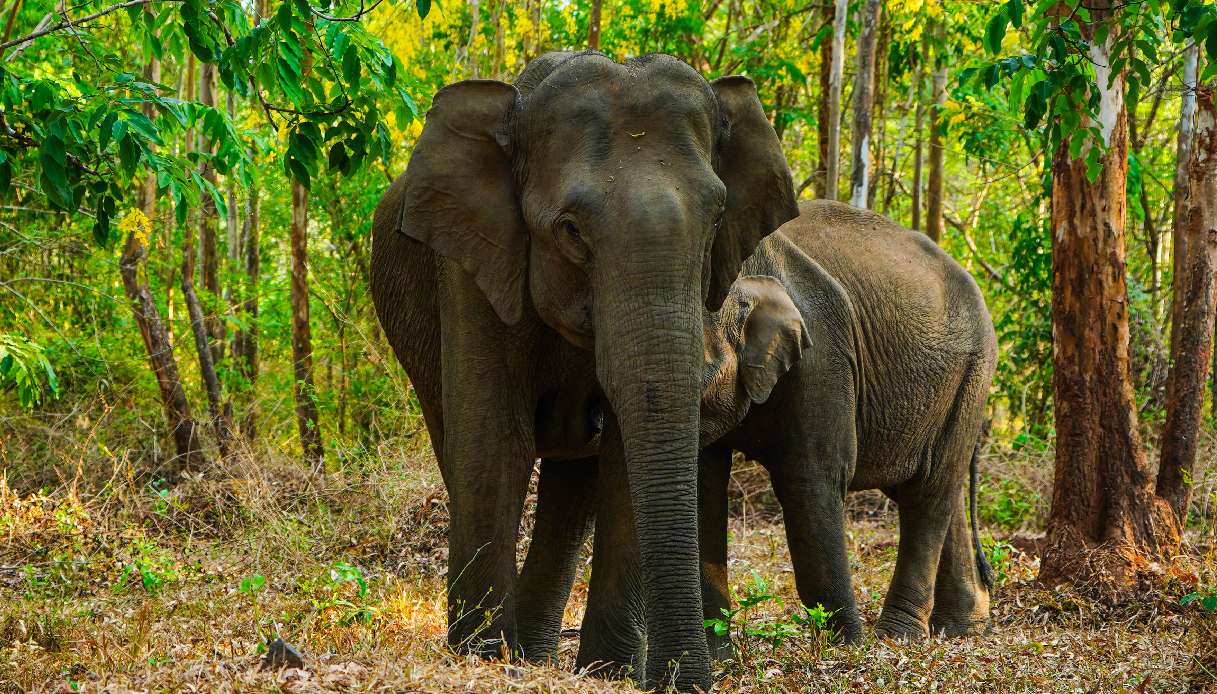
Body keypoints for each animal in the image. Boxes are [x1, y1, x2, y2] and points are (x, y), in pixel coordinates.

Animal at [374, 48, 803, 686]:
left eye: (718, 216)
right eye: (571, 230)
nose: (682, 681)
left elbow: (623, 448)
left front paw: (609, 672)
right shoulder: (472, 268)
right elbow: (494, 439)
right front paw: (482, 658)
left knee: (572, 482)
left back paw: (539, 653)